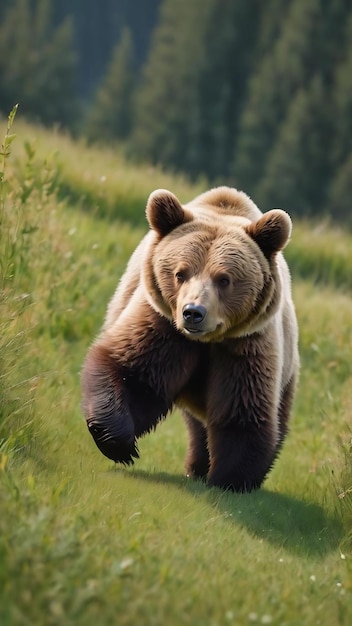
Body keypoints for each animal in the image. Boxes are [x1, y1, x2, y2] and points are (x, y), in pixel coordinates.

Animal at [82, 188, 300, 490]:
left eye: (224, 279)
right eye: (180, 273)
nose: (193, 313)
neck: (206, 342)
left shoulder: (246, 346)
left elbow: (241, 410)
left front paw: (229, 480)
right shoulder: (162, 327)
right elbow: (130, 373)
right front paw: (120, 445)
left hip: (288, 372)